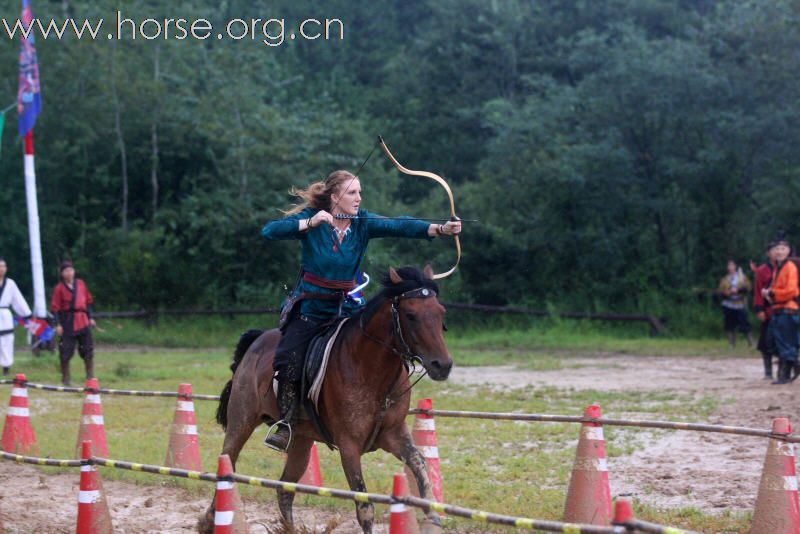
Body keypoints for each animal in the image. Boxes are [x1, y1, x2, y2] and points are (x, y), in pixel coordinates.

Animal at [198, 266, 454, 532]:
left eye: (440, 312)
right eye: (410, 315)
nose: (442, 365)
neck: (368, 367)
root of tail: (255, 342)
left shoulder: (394, 434)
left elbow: (419, 465)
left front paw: (434, 516)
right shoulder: (349, 447)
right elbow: (364, 508)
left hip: (300, 439)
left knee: (285, 488)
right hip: (241, 420)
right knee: (228, 464)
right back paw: (210, 520)